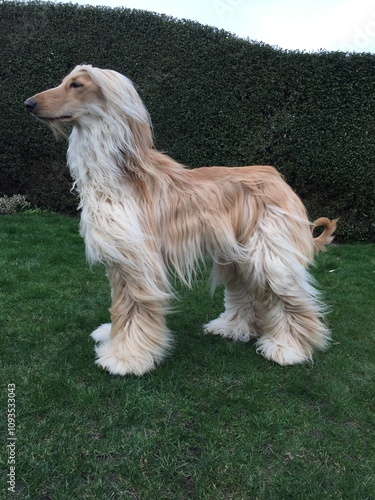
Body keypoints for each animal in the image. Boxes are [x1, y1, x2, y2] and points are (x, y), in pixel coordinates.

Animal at [24, 66, 338, 376]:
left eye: (76, 85)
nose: (28, 104)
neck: (118, 174)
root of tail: (278, 177)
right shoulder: (119, 254)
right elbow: (119, 303)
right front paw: (111, 335)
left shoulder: (138, 258)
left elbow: (133, 307)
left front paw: (126, 357)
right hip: (238, 252)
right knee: (247, 290)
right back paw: (233, 328)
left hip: (269, 250)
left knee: (288, 296)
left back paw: (289, 348)